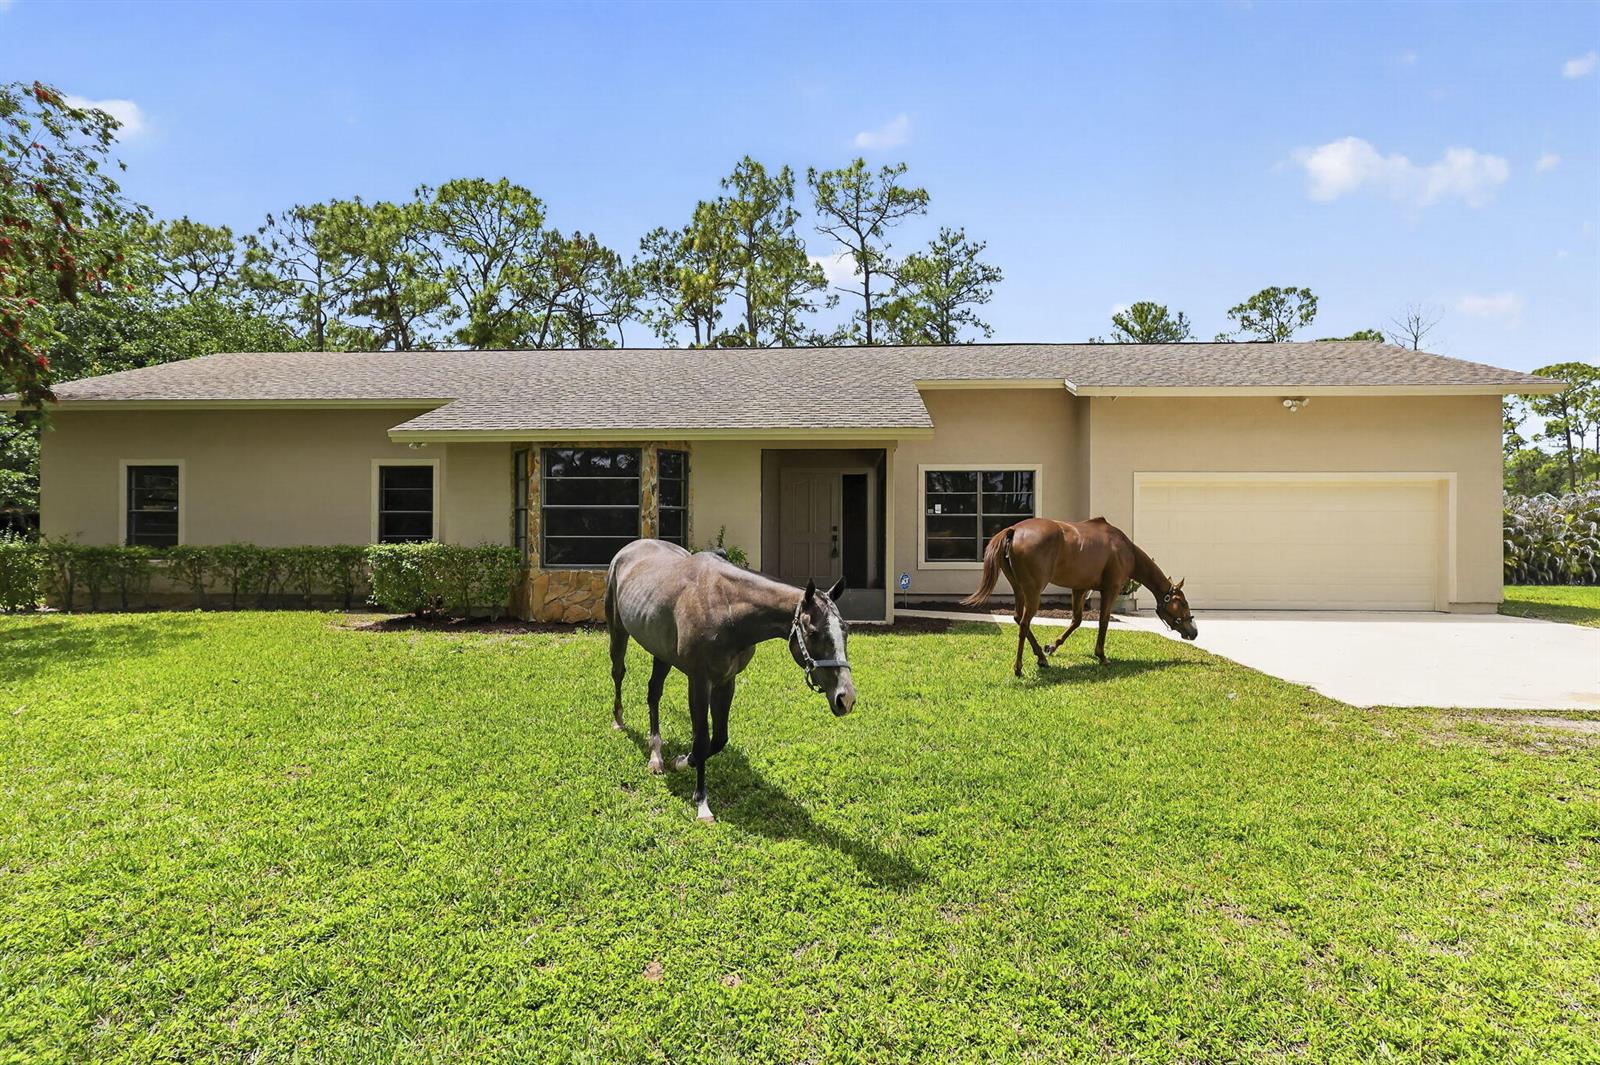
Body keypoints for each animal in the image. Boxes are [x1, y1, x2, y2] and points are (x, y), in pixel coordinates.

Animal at [604, 538, 856, 824]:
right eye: (813, 633)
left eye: (845, 630)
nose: (846, 698)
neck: (726, 610)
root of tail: (628, 549)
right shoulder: (699, 681)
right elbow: (702, 739)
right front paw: (702, 802)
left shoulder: (726, 681)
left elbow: (718, 739)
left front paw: (681, 761)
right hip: (618, 632)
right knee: (618, 673)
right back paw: (619, 721)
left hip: (661, 653)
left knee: (653, 693)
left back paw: (656, 755)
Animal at [962, 517, 1198, 676]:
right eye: (1183, 603)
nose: (1193, 632)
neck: (1124, 549)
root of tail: (1013, 531)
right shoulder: (1110, 589)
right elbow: (1103, 621)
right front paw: (1102, 656)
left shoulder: (1080, 589)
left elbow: (1076, 620)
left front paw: (1052, 647)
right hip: (1033, 590)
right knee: (1024, 623)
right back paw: (1019, 667)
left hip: (1018, 589)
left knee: (1019, 619)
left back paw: (1041, 657)